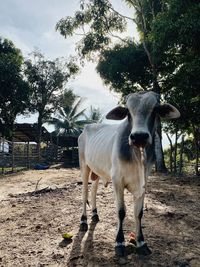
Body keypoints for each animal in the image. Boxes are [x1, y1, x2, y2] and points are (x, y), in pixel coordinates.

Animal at [77, 91, 180, 258]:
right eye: (128, 112)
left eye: (155, 109)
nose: (139, 136)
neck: (136, 155)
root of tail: (87, 127)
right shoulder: (117, 181)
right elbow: (121, 212)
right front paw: (119, 243)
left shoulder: (143, 183)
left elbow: (138, 213)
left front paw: (141, 242)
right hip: (84, 167)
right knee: (85, 192)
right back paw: (83, 221)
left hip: (97, 171)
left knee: (93, 191)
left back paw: (95, 214)